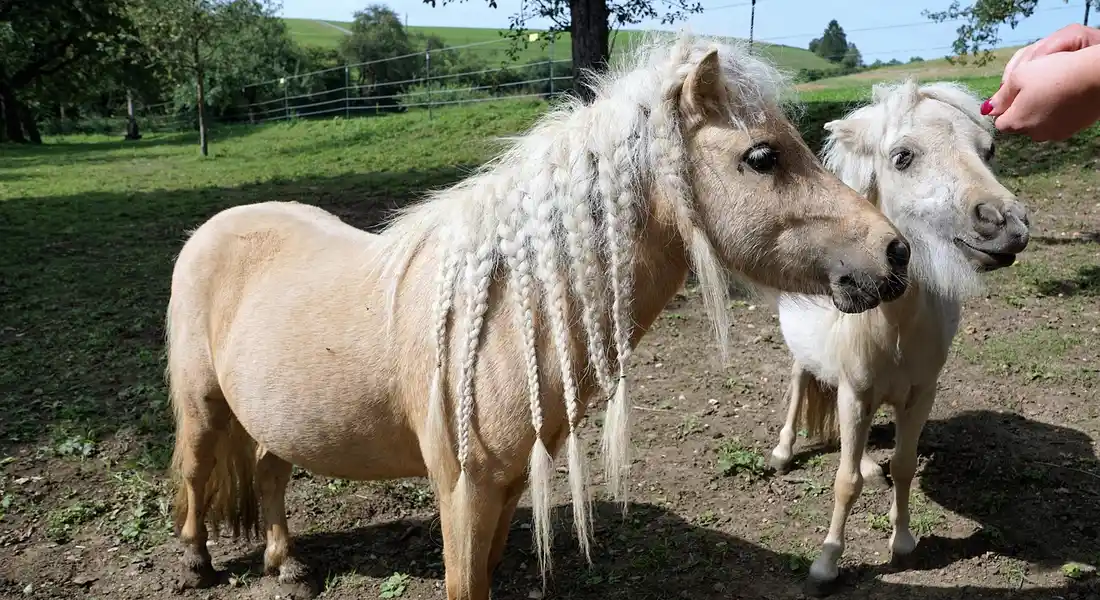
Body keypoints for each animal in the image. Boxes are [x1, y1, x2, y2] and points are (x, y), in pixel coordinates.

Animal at [164, 32, 914, 600]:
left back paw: (285, 563)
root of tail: (214, 228)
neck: (500, 316)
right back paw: (198, 564)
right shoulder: (463, 488)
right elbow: (465, 583)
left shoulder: (505, 484)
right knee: (198, 471)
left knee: (268, 470)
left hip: (272, 415)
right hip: (204, 405)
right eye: (762, 157)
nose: (894, 252)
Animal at [766, 79, 1031, 597]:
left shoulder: (920, 393)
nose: (1007, 225)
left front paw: (904, 543)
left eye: (988, 150)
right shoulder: (855, 393)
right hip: (805, 360)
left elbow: (904, 464)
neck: (894, 324)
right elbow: (844, 482)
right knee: (798, 386)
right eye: (902, 157)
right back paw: (785, 452)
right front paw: (826, 563)